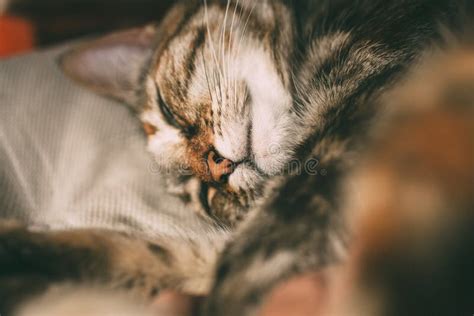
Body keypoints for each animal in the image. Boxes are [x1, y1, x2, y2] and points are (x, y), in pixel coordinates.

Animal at [0, 0, 470, 314]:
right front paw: (21, 249)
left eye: (168, 112)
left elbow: (252, 258)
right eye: (204, 193)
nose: (217, 168)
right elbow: (157, 254)